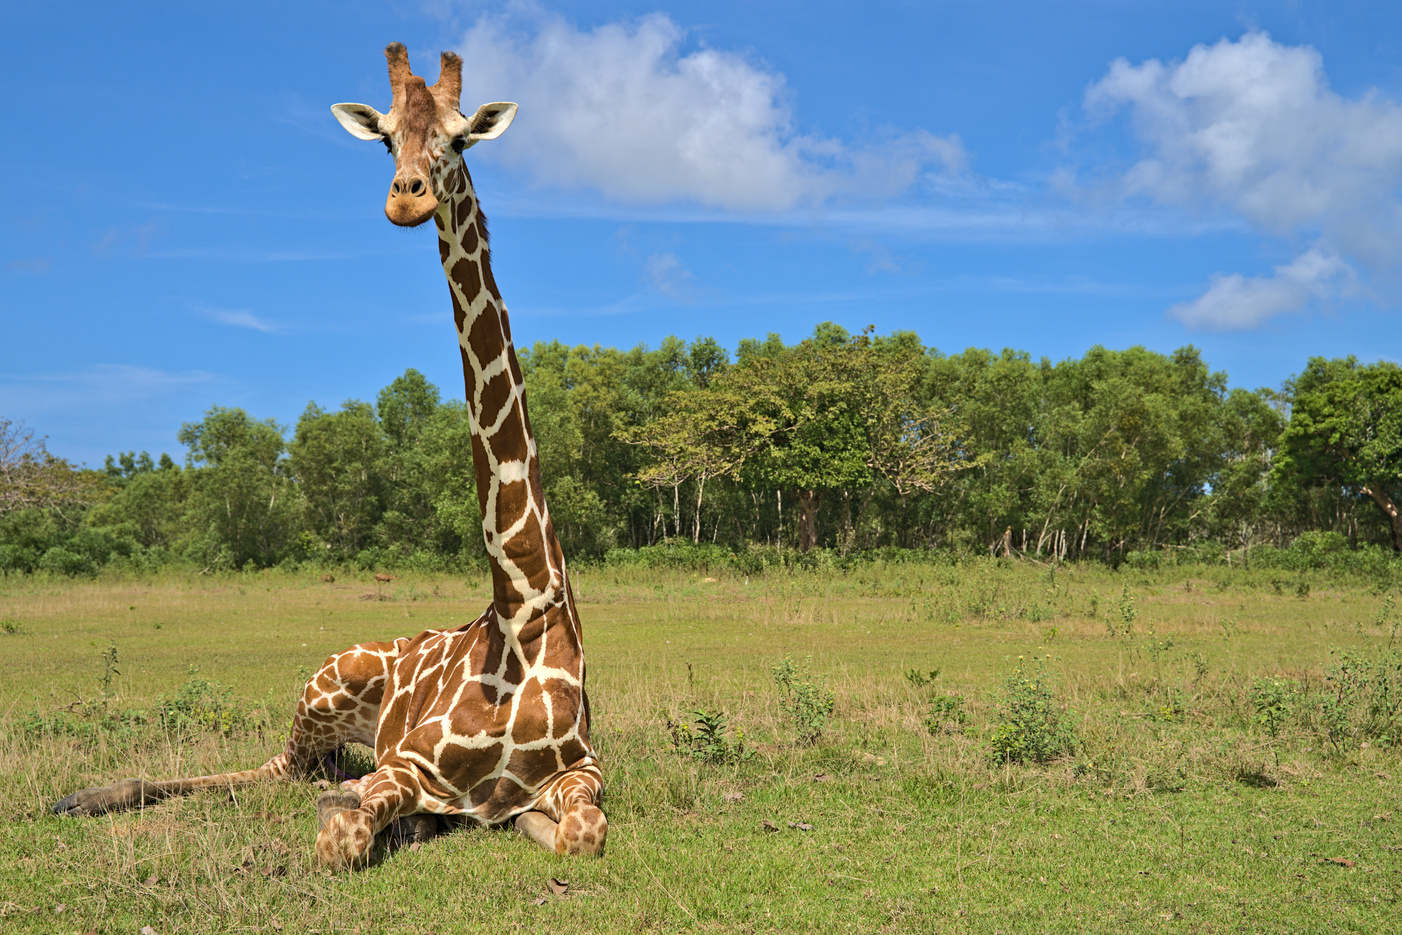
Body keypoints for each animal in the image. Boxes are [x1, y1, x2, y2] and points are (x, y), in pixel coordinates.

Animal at [50, 43, 608, 869]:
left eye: (459, 140)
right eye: (387, 140)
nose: (407, 198)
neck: (523, 606)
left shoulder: (580, 769)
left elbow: (578, 830)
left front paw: (501, 821)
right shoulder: (407, 763)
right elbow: (342, 831)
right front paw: (412, 822)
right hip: (323, 684)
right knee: (281, 767)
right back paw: (88, 794)